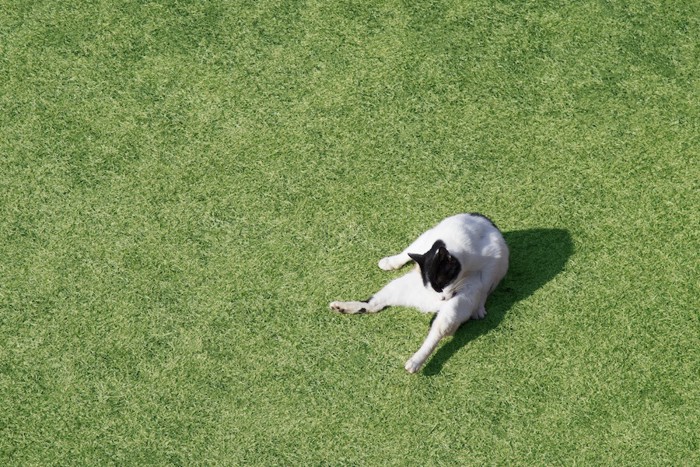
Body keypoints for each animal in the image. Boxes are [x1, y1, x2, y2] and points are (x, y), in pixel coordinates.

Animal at [328, 215, 508, 372]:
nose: (442, 298)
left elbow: (486, 284)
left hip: (455, 307)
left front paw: (480, 307)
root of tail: (426, 304)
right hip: (398, 287)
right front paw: (390, 262)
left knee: (437, 331)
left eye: (441, 283)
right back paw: (341, 307)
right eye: (435, 287)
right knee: (373, 305)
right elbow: (409, 251)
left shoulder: (494, 261)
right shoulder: (427, 238)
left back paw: (416, 361)